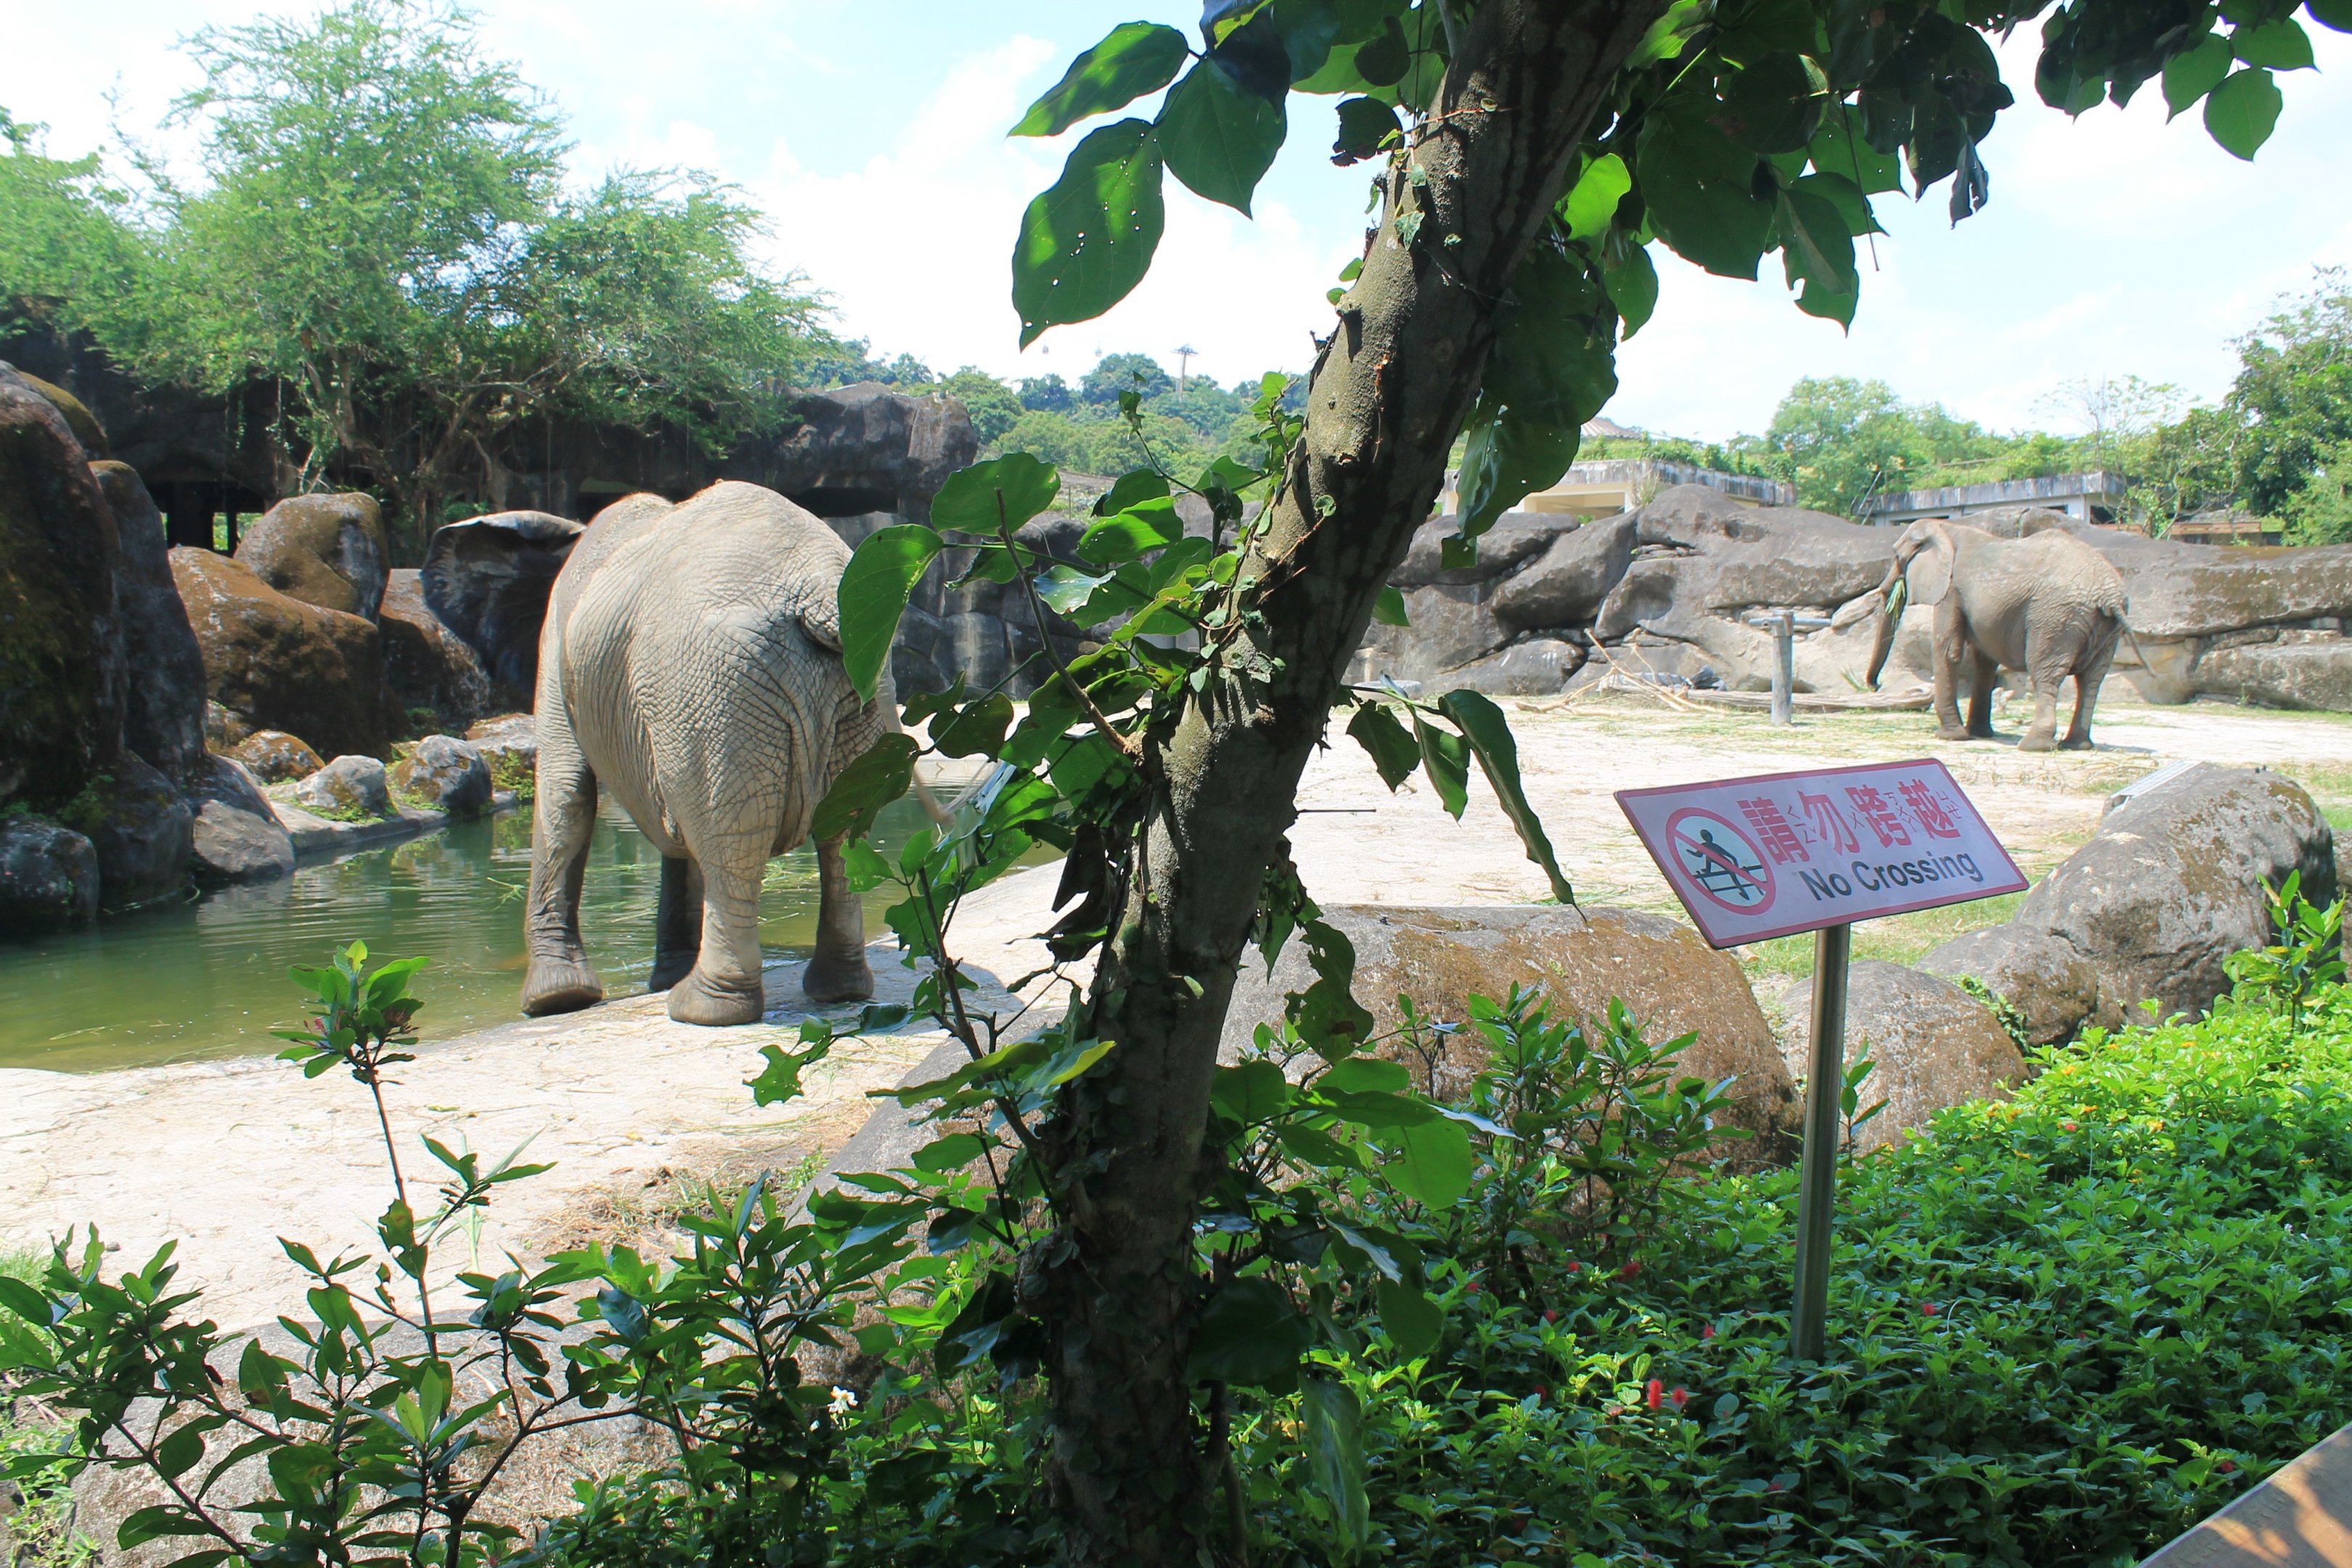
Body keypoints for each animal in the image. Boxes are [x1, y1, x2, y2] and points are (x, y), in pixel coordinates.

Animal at [521, 480, 893, 1026]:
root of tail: (818, 592)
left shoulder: (556, 649)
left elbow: (565, 789)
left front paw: (553, 1003)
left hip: (712, 684)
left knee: (729, 839)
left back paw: (700, 1007)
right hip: (854, 686)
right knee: (841, 834)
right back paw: (840, 989)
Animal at [1859, 519, 2129, 752]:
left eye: (1897, 556)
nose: (1875, 685)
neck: (1947, 528)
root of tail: (2109, 594)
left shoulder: (1951, 589)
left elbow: (1948, 649)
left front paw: (1951, 736)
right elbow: (1984, 660)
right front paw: (1978, 734)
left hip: (2055, 618)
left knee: (2045, 674)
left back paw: (2034, 746)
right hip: (2105, 629)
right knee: (2091, 680)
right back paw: (2076, 745)